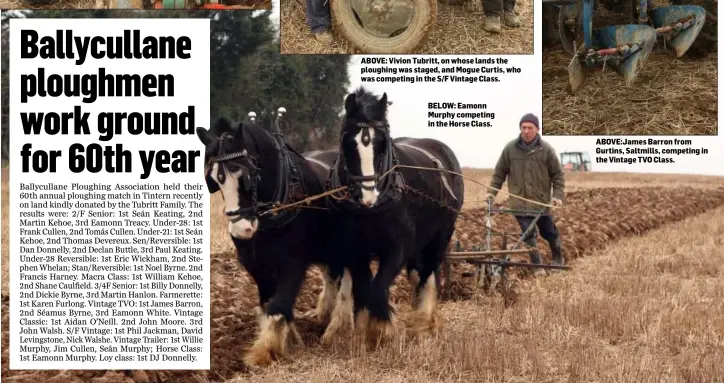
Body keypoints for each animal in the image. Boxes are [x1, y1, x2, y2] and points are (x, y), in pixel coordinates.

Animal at [197, 121, 346, 368]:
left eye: (247, 176)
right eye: (215, 181)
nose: (241, 230)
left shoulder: (294, 263)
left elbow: (280, 304)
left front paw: (264, 351)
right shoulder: (258, 267)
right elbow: (270, 304)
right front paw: (290, 341)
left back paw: (337, 328)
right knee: (331, 277)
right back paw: (324, 315)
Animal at [326, 88, 464, 344]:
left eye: (381, 143)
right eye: (348, 142)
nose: (367, 196)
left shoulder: (397, 249)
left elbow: (378, 289)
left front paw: (383, 329)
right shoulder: (353, 250)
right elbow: (363, 288)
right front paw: (362, 330)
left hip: (441, 236)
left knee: (428, 274)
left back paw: (426, 321)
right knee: (417, 273)